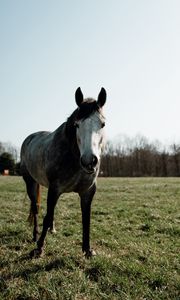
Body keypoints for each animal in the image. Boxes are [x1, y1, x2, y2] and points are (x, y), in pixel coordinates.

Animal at [20, 86, 106, 258]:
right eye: (77, 125)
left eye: (103, 124)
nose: (89, 161)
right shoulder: (55, 188)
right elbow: (46, 216)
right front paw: (39, 248)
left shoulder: (88, 191)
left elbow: (86, 219)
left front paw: (88, 250)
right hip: (30, 182)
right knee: (35, 207)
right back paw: (35, 236)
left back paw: (51, 230)